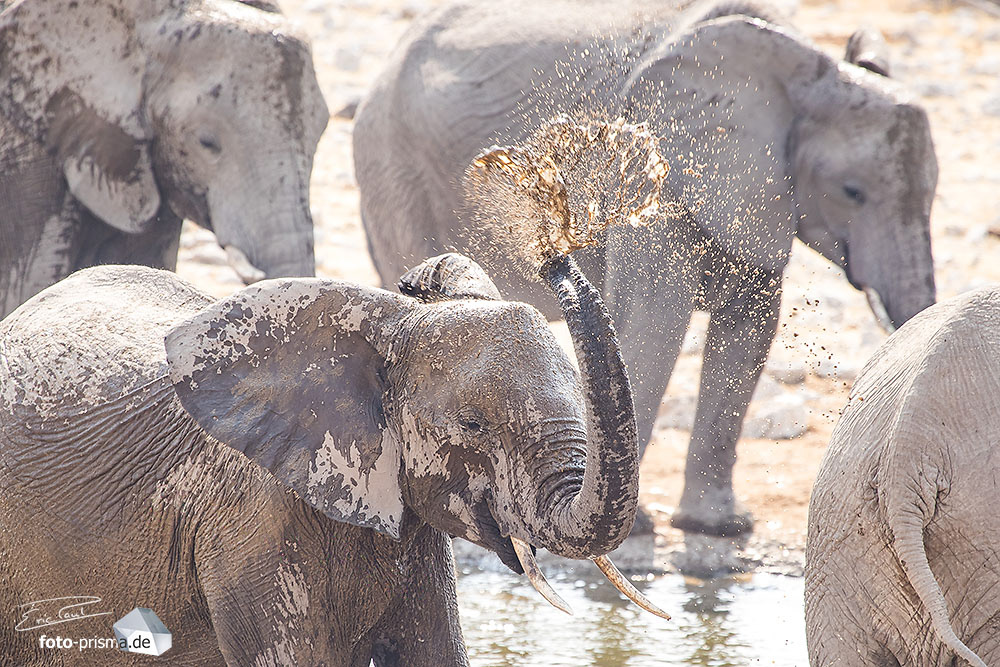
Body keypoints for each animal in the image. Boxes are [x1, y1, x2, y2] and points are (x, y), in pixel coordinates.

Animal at [353, 0, 938, 536]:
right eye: (852, 192)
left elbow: (751, 325)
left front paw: (719, 528)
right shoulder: (651, 175)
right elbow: (653, 322)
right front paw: (636, 530)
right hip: (394, 168)